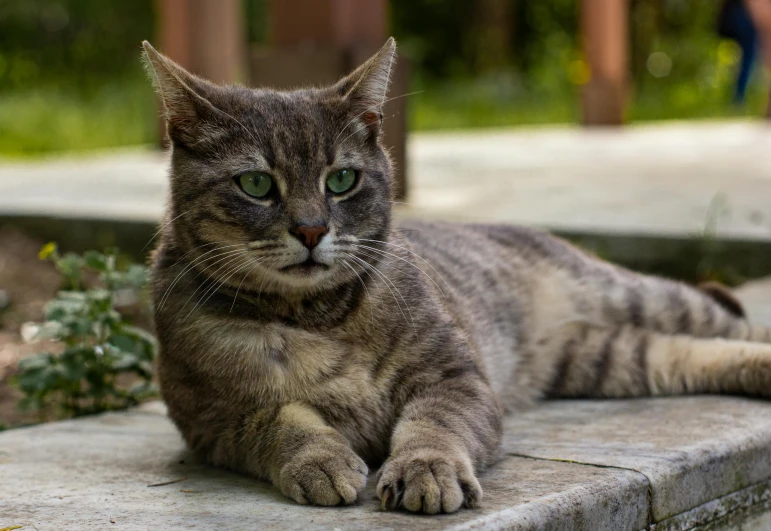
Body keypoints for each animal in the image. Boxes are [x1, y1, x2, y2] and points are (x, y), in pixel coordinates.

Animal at [142, 38, 771, 516]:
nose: (312, 229)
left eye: (342, 179)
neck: (317, 318)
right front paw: (321, 458)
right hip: (605, 359)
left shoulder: (456, 377)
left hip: (639, 297)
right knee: (689, 353)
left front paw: (425, 470)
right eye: (255, 184)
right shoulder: (212, 421)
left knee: (732, 324)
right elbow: (281, 419)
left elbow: (433, 427)